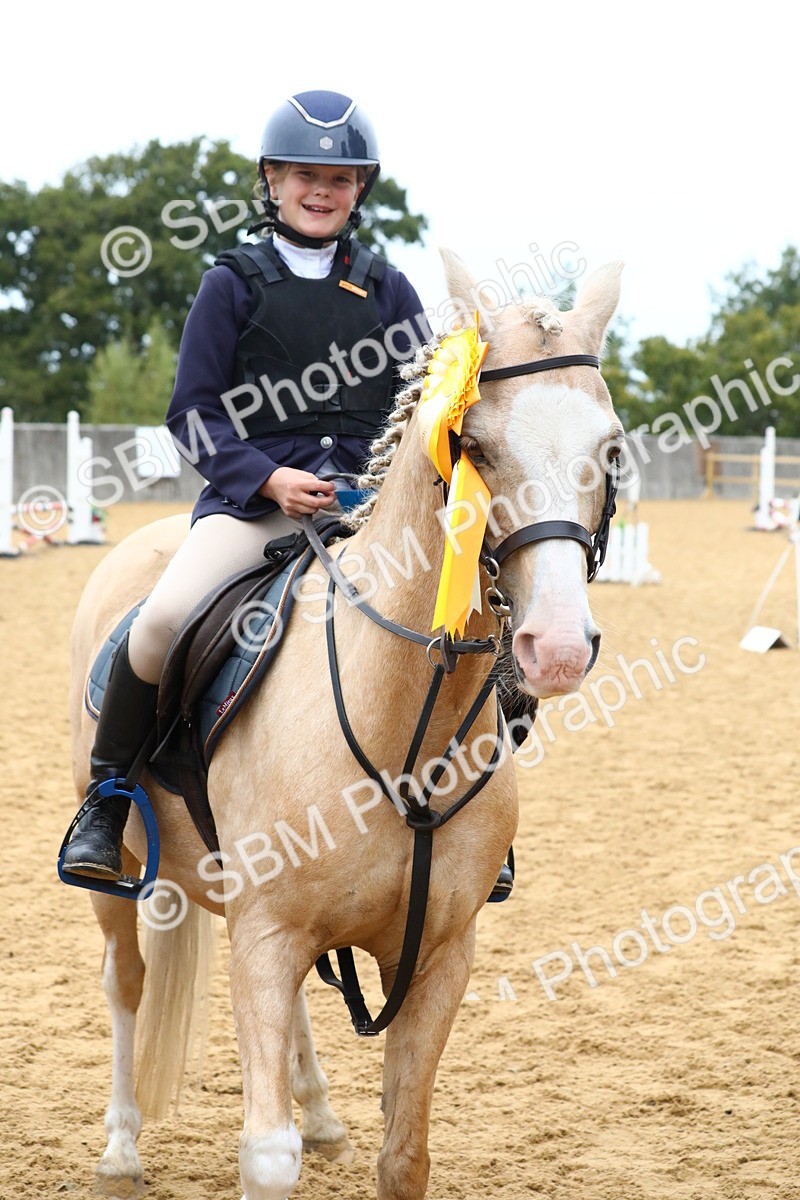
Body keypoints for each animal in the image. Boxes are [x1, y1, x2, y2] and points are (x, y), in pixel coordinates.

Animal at [68, 249, 624, 1199]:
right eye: (474, 446)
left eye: (610, 447)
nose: (554, 647)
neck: (403, 725)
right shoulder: (265, 936)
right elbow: (267, 1155)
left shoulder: (437, 955)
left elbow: (404, 1153)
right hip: (124, 877)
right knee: (125, 983)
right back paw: (119, 1144)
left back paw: (322, 1114)